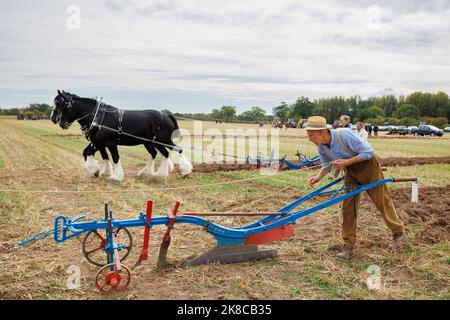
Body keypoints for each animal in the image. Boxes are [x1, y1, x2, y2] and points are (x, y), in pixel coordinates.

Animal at [50, 90, 192, 180]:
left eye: (61, 104)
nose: (55, 119)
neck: (98, 117)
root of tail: (166, 115)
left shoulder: (110, 142)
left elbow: (115, 157)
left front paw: (116, 176)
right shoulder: (98, 142)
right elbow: (93, 154)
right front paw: (99, 171)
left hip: (163, 140)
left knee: (177, 150)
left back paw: (184, 171)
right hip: (151, 142)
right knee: (159, 154)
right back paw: (152, 173)